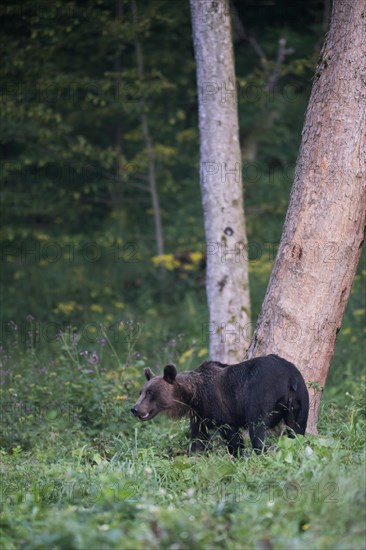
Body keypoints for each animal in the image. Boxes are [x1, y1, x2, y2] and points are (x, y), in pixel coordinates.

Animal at [132, 356, 308, 454]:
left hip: (261, 392)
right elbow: (198, 440)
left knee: (257, 430)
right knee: (297, 429)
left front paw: (238, 456)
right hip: (300, 400)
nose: (134, 408)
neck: (192, 396)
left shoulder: (220, 410)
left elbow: (233, 438)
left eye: (150, 392)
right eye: (141, 391)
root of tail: (289, 376)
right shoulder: (199, 415)